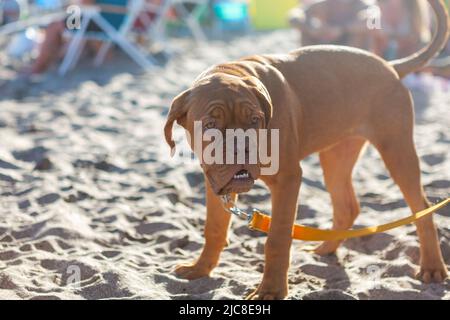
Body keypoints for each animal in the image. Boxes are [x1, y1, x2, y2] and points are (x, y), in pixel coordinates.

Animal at [165, 0, 450, 300]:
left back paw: (432, 267)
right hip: (336, 156)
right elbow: (214, 228)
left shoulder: (288, 180)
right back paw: (325, 249)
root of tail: (390, 66)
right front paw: (201, 269)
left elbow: (277, 239)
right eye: (210, 125)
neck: (234, 71)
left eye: (254, 121)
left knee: (422, 208)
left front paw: (271, 291)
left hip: (396, 149)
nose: (242, 147)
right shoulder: (215, 183)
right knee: (348, 206)